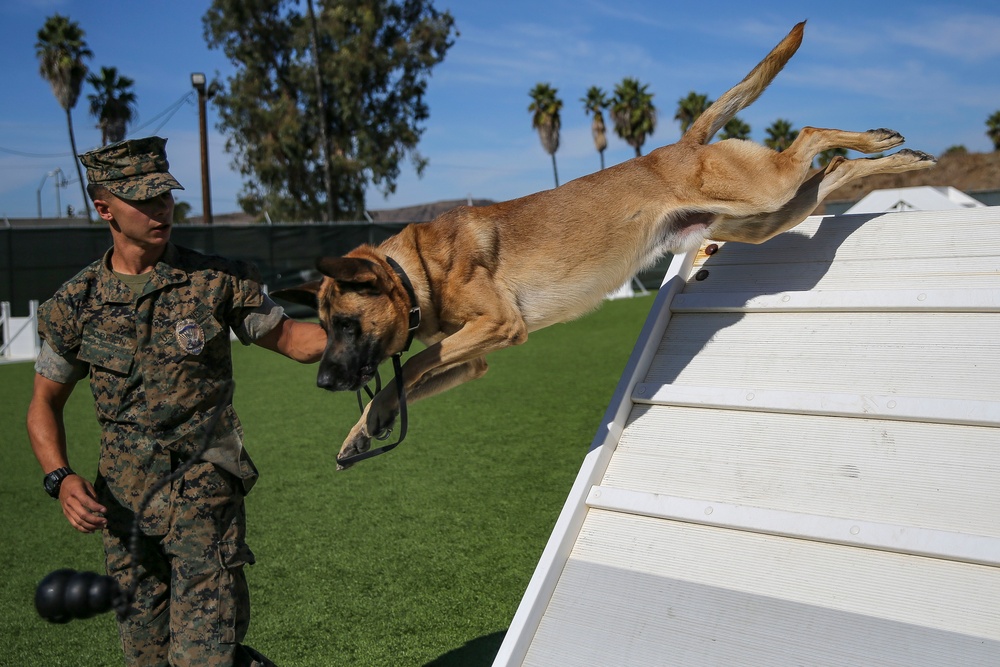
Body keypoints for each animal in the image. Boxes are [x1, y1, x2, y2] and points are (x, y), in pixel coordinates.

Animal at [274, 22, 936, 470]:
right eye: (324, 325)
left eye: (346, 324)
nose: (322, 383)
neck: (416, 272)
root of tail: (682, 143)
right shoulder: (476, 355)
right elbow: (400, 381)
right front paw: (363, 429)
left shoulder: (497, 326)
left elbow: (410, 363)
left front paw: (370, 415)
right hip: (760, 216)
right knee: (832, 172)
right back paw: (898, 158)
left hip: (764, 189)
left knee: (810, 135)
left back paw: (879, 139)